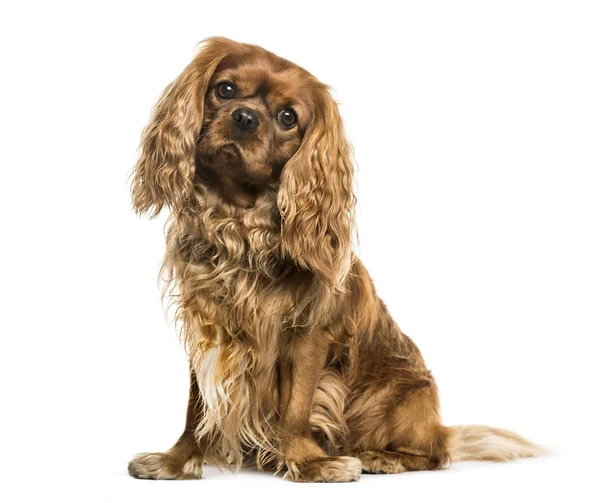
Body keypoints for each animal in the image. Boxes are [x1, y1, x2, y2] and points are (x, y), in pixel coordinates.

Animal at [127, 37, 544, 482]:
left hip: (397, 398)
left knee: (435, 455)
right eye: (224, 90)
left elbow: (296, 407)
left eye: (288, 117)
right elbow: (197, 406)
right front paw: (178, 461)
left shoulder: (309, 335)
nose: (245, 118)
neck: (238, 224)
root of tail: (440, 426)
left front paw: (310, 463)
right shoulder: (210, 328)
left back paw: (382, 457)